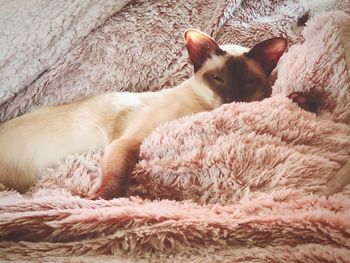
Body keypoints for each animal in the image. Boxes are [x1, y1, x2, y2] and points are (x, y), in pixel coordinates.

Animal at [0, 29, 290, 200]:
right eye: (217, 79)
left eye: (249, 83)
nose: (231, 99)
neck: (202, 108)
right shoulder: (127, 142)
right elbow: (115, 179)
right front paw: (98, 200)